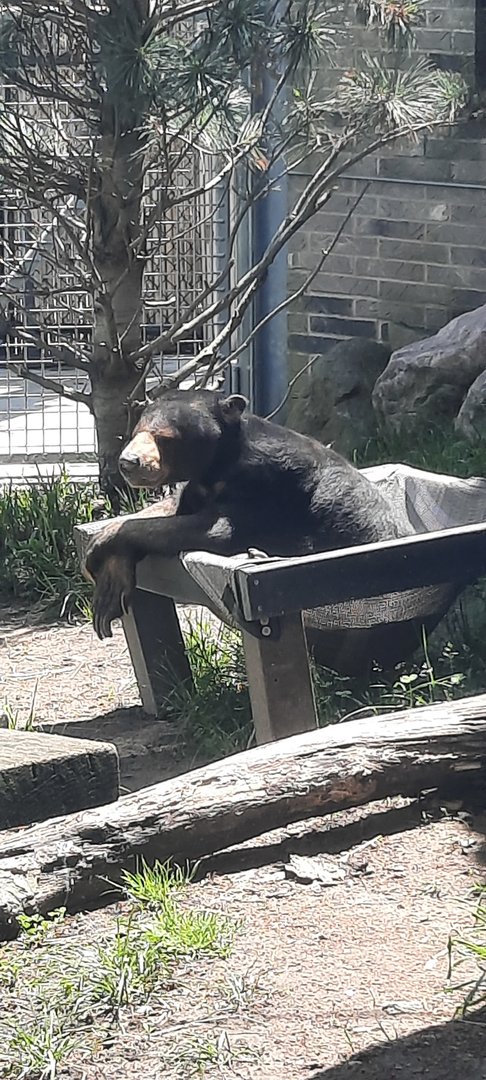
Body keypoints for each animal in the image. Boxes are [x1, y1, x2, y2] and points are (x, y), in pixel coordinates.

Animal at [83, 388, 416, 652]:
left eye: (164, 437)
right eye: (136, 432)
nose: (129, 462)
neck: (217, 466)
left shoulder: (262, 484)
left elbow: (219, 530)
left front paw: (101, 547)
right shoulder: (198, 487)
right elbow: (175, 509)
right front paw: (109, 573)